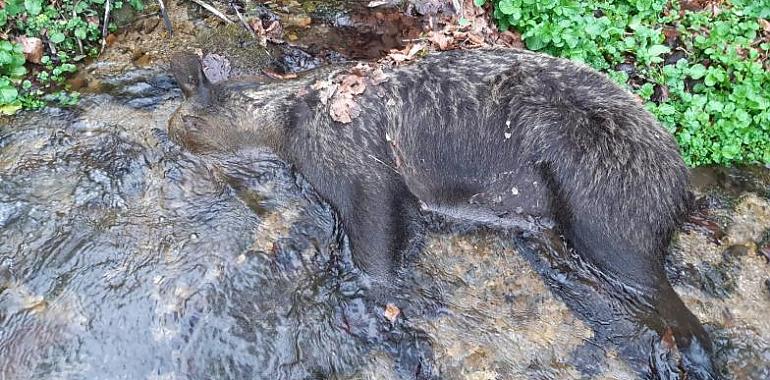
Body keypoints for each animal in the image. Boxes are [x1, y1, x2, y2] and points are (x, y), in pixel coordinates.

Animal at [168, 49, 720, 378]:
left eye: (184, 128)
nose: (172, 135)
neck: (280, 117)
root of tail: (679, 189)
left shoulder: (357, 169)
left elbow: (374, 245)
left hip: (603, 208)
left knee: (665, 300)